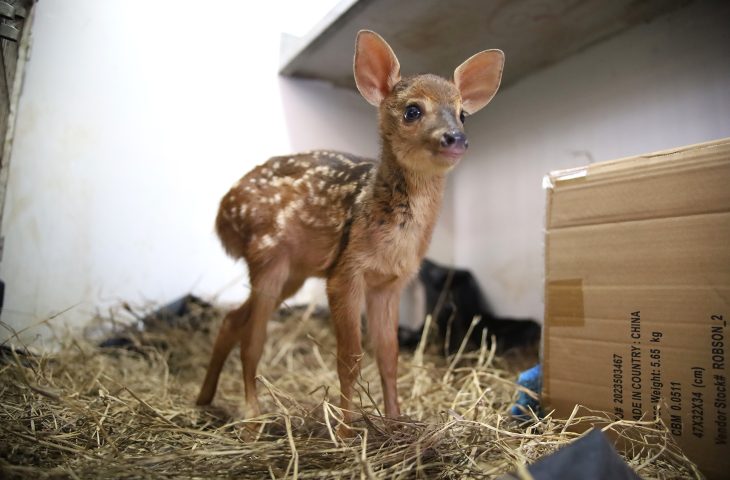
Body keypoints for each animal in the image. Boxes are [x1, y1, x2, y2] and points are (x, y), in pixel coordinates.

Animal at [196, 31, 504, 434]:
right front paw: (345, 432)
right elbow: (350, 357)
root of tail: (222, 214)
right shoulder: (345, 273)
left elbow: (389, 356)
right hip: (267, 254)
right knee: (253, 339)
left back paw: (204, 400)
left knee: (233, 319)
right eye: (413, 111)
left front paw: (395, 422)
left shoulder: (389, 283)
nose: (455, 138)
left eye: (463, 113)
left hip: (292, 272)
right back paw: (251, 418)